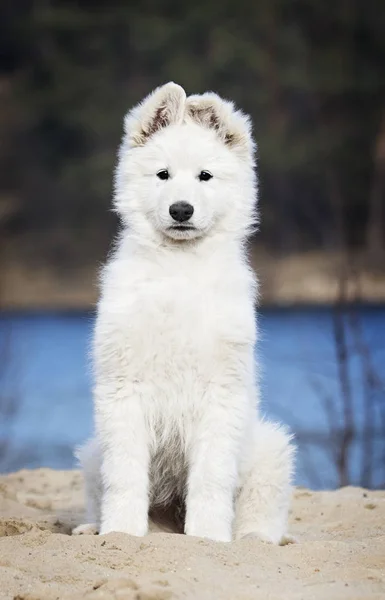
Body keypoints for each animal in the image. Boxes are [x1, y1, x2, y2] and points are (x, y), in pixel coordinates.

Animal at [73, 83, 292, 544]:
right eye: (163, 175)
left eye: (205, 176)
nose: (181, 210)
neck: (179, 268)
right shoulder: (123, 390)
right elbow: (125, 474)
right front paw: (121, 532)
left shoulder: (220, 394)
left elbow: (211, 476)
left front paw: (207, 536)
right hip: (91, 451)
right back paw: (92, 527)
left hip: (271, 448)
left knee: (260, 513)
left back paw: (256, 538)